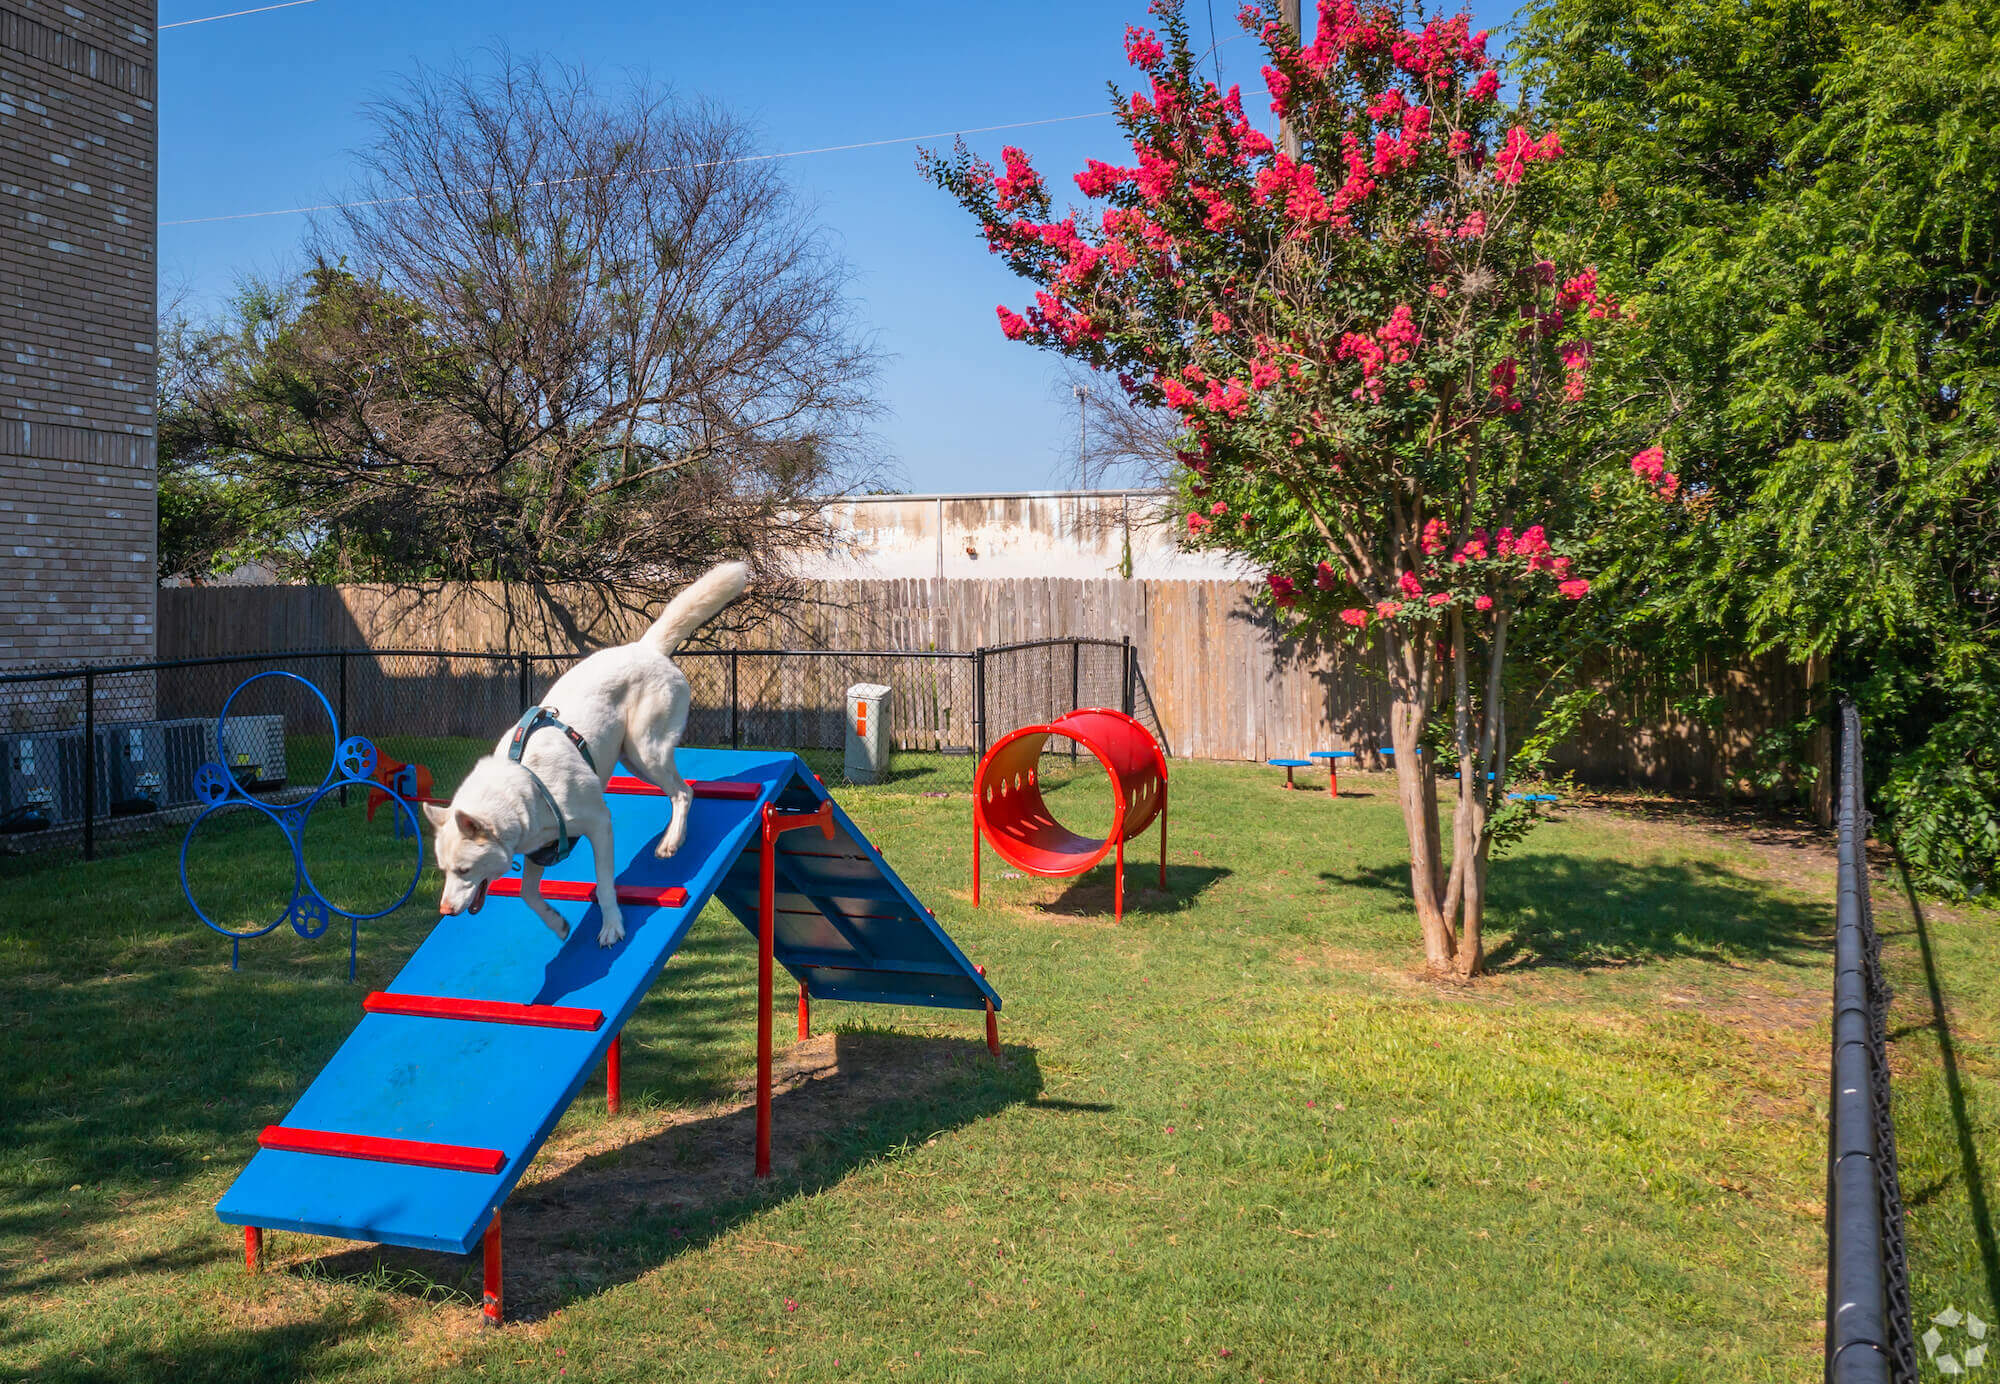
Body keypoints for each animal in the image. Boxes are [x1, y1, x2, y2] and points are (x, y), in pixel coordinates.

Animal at [426, 560, 752, 940]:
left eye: (464, 870)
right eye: (444, 870)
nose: (445, 911)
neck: (528, 789)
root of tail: (648, 648)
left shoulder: (599, 824)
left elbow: (605, 884)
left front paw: (611, 926)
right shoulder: (541, 850)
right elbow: (527, 893)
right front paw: (557, 923)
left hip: (645, 752)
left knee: (684, 792)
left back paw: (670, 842)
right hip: (632, 758)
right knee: (680, 791)